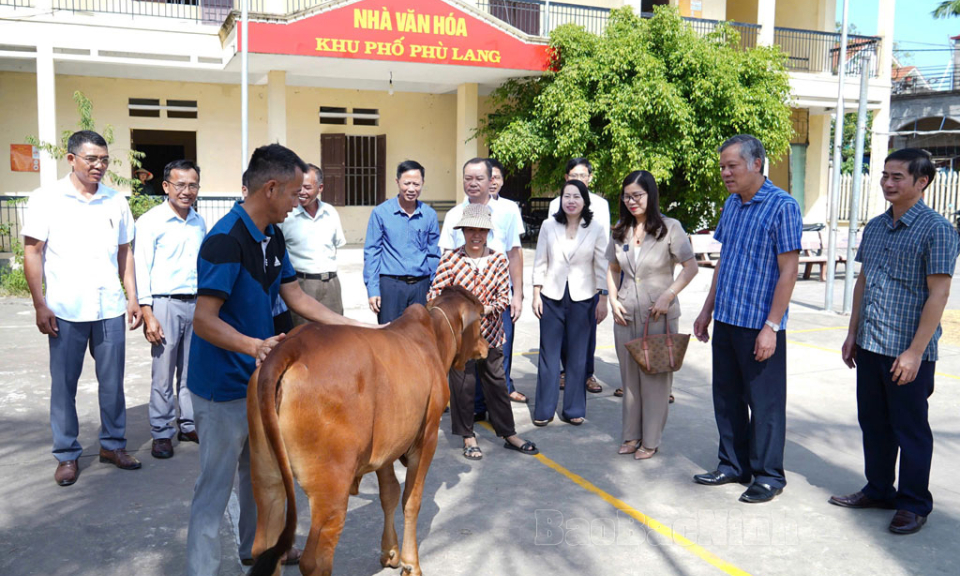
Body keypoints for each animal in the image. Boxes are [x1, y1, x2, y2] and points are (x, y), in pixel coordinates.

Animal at [248, 286, 488, 576]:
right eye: (482, 318)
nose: (487, 347)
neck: (433, 336)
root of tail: (292, 345)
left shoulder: (385, 449)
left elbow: (389, 494)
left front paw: (390, 552)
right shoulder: (427, 438)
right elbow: (411, 500)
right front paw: (411, 563)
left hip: (266, 476)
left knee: (264, 547)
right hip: (330, 491)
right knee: (315, 560)